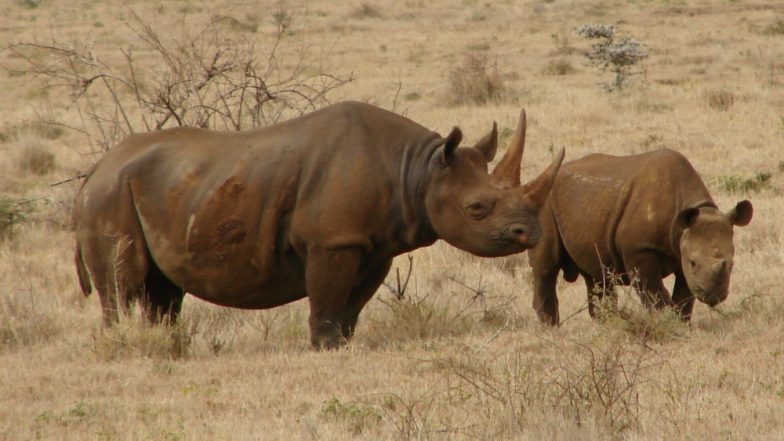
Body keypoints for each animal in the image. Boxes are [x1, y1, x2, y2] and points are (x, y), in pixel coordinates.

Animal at [74, 101, 565, 348]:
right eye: (478, 208)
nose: (530, 233)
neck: (418, 170)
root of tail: (94, 170)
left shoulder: (373, 245)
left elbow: (352, 304)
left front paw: (343, 344)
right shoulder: (334, 241)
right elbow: (328, 298)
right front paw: (324, 347)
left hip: (158, 190)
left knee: (162, 287)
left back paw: (166, 343)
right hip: (110, 196)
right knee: (123, 282)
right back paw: (124, 343)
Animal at [527, 148, 753, 325]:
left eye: (732, 264)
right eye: (694, 263)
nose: (714, 296)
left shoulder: (681, 249)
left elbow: (684, 297)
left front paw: (681, 324)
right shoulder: (639, 249)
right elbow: (654, 294)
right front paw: (666, 323)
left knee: (597, 275)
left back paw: (607, 324)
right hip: (544, 205)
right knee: (546, 267)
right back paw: (551, 329)